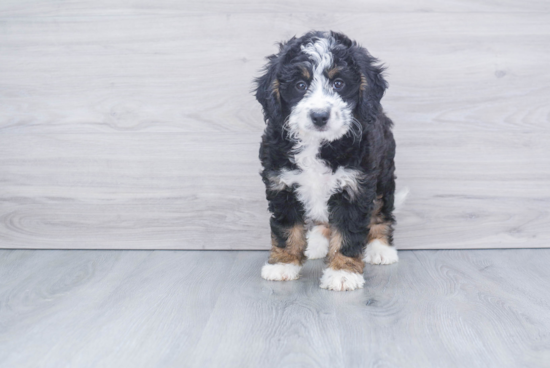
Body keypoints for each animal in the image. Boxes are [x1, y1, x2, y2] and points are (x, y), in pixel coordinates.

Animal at [254, 30, 402, 290]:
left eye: (338, 83)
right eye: (300, 85)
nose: (319, 116)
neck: (318, 143)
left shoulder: (355, 186)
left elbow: (347, 231)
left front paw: (343, 272)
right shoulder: (281, 183)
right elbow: (286, 228)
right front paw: (283, 264)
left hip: (383, 172)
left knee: (381, 210)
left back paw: (381, 248)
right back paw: (316, 242)